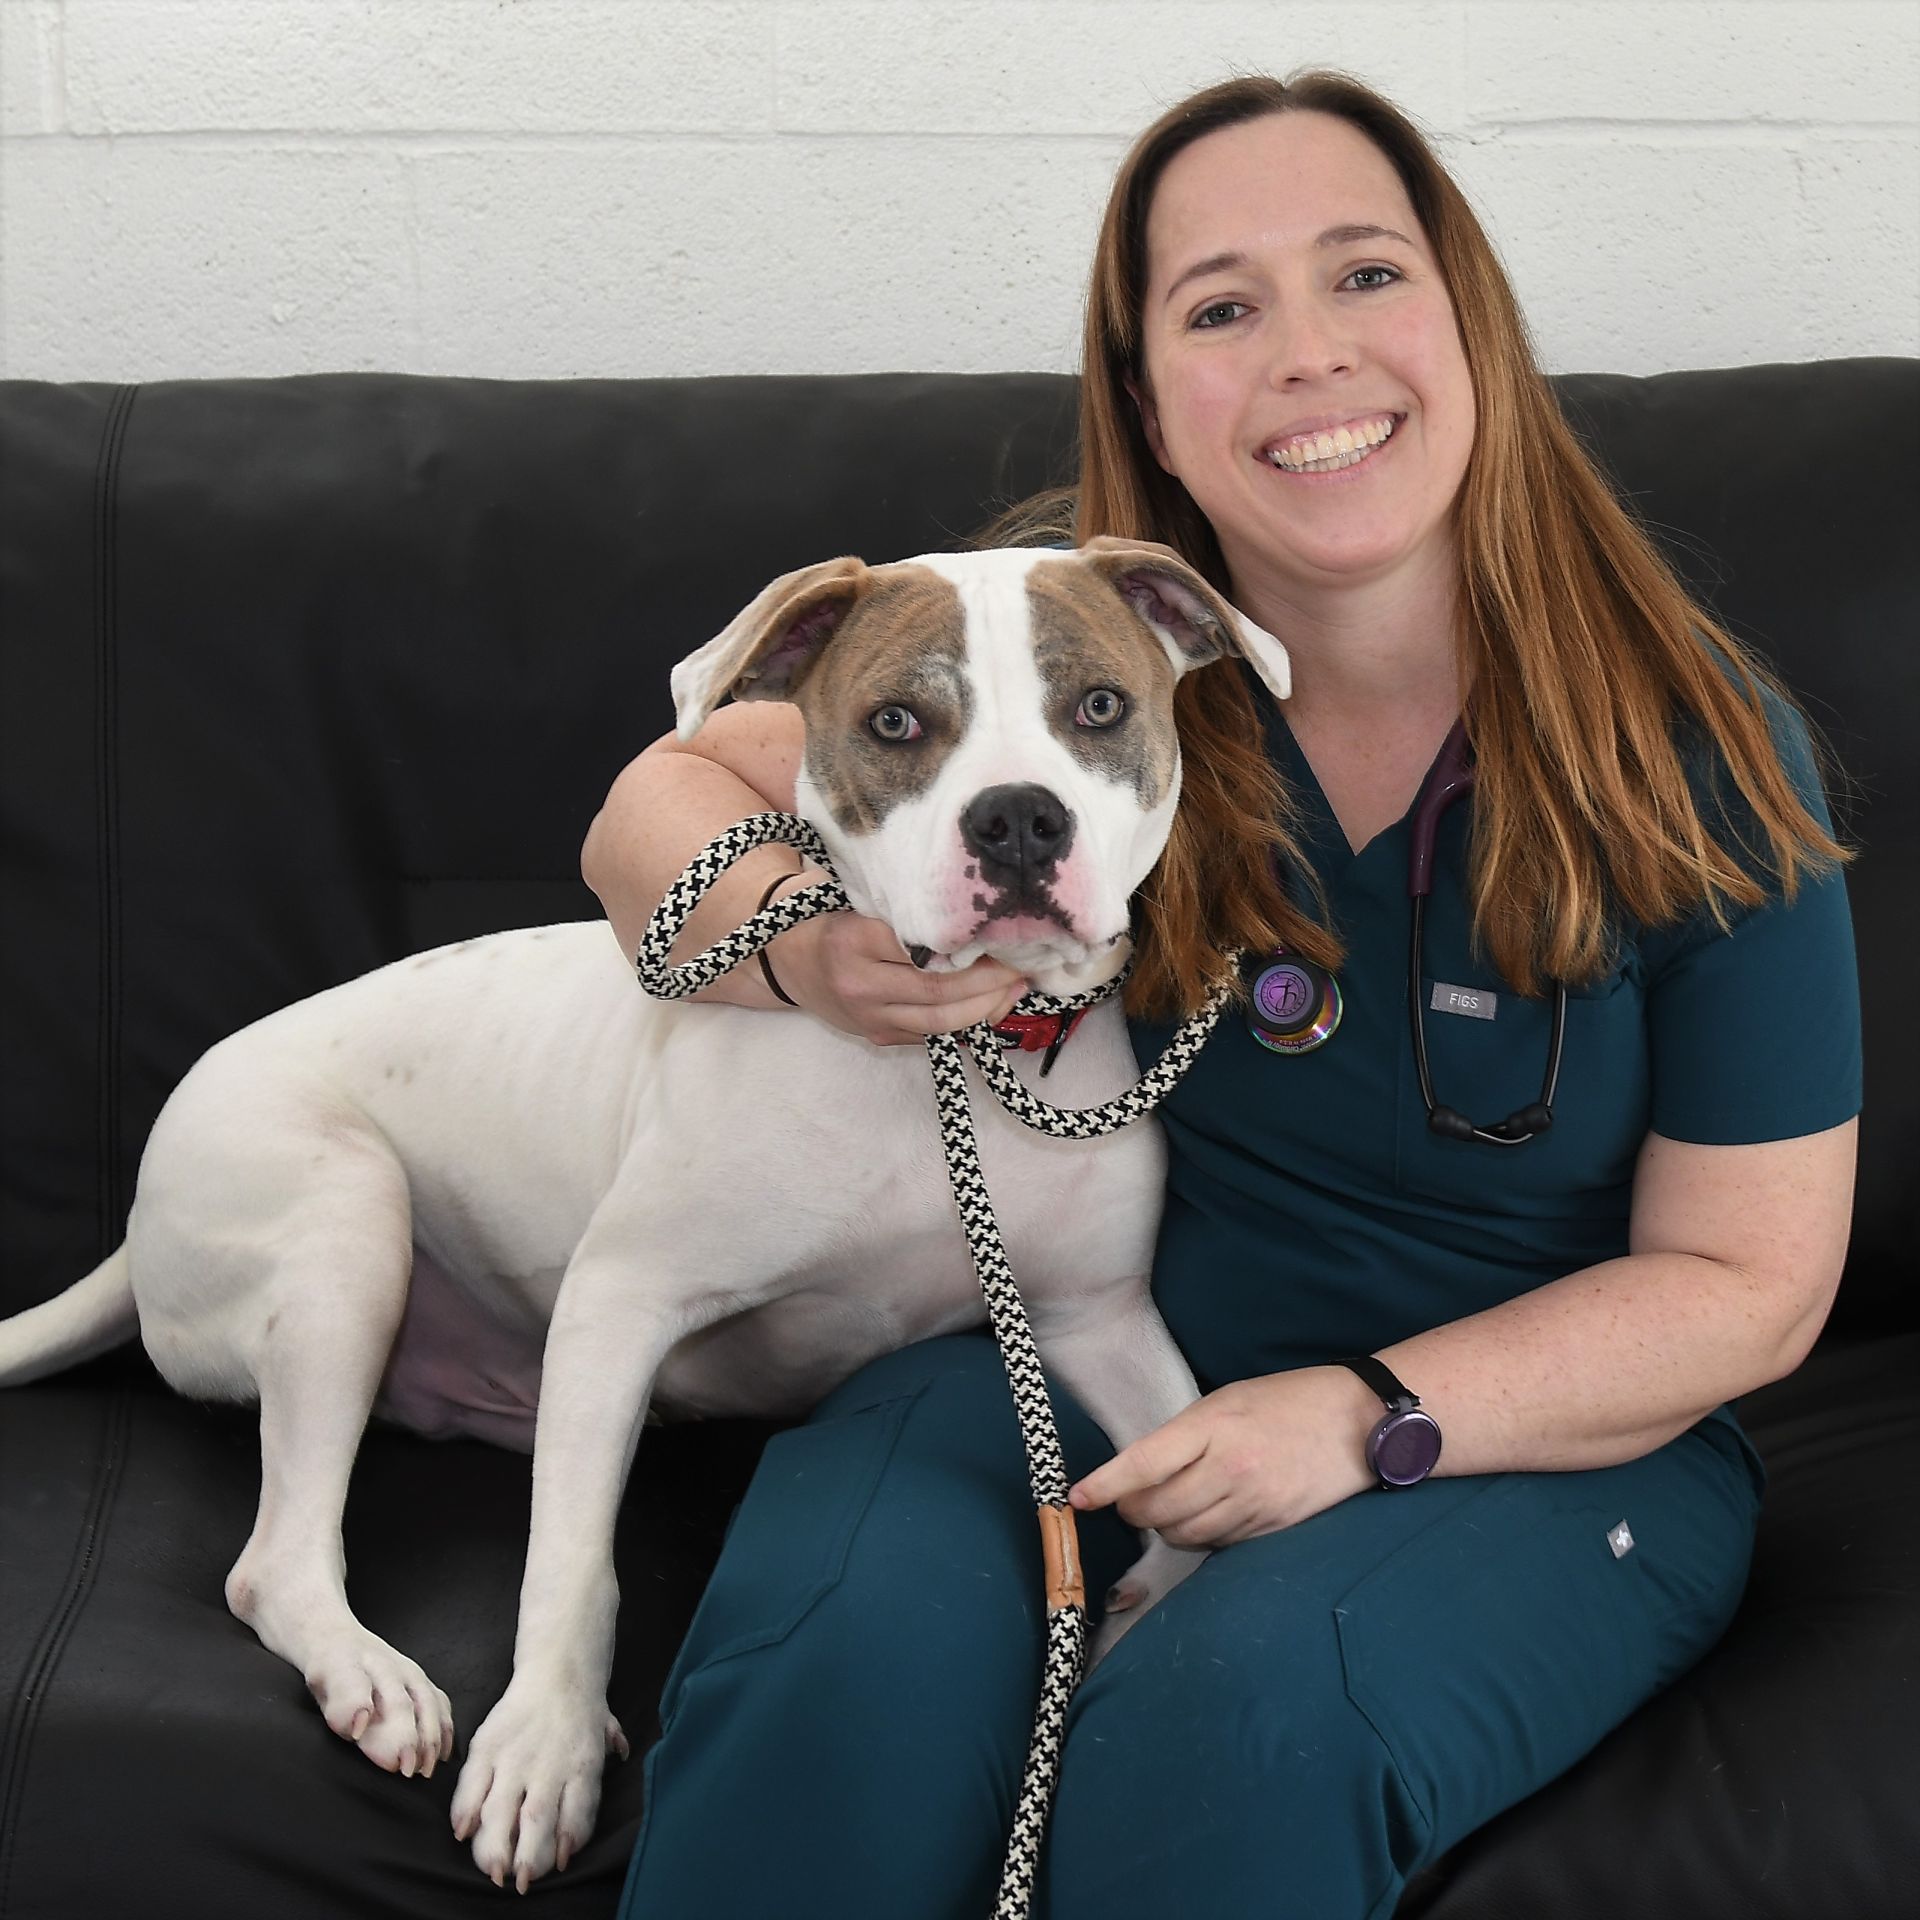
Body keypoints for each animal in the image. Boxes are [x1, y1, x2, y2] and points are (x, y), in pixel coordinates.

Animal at [3, 537, 1290, 1889]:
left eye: (1098, 707)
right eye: (895, 722)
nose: (1019, 818)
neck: (949, 1058)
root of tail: (134, 1225)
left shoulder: (1100, 1319)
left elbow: (1196, 1488)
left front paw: (1138, 1607)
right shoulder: (622, 1300)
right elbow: (572, 1566)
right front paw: (543, 1751)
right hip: (342, 1225)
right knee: (277, 1560)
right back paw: (369, 1677)